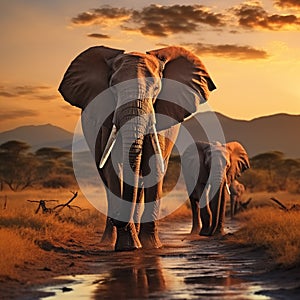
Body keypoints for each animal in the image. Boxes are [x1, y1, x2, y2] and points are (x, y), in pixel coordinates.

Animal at [58, 45, 216, 251]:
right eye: (112, 87)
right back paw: (109, 240)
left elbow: (154, 166)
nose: (118, 221)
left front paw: (151, 246)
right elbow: (114, 169)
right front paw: (128, 246)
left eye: (156, 88)